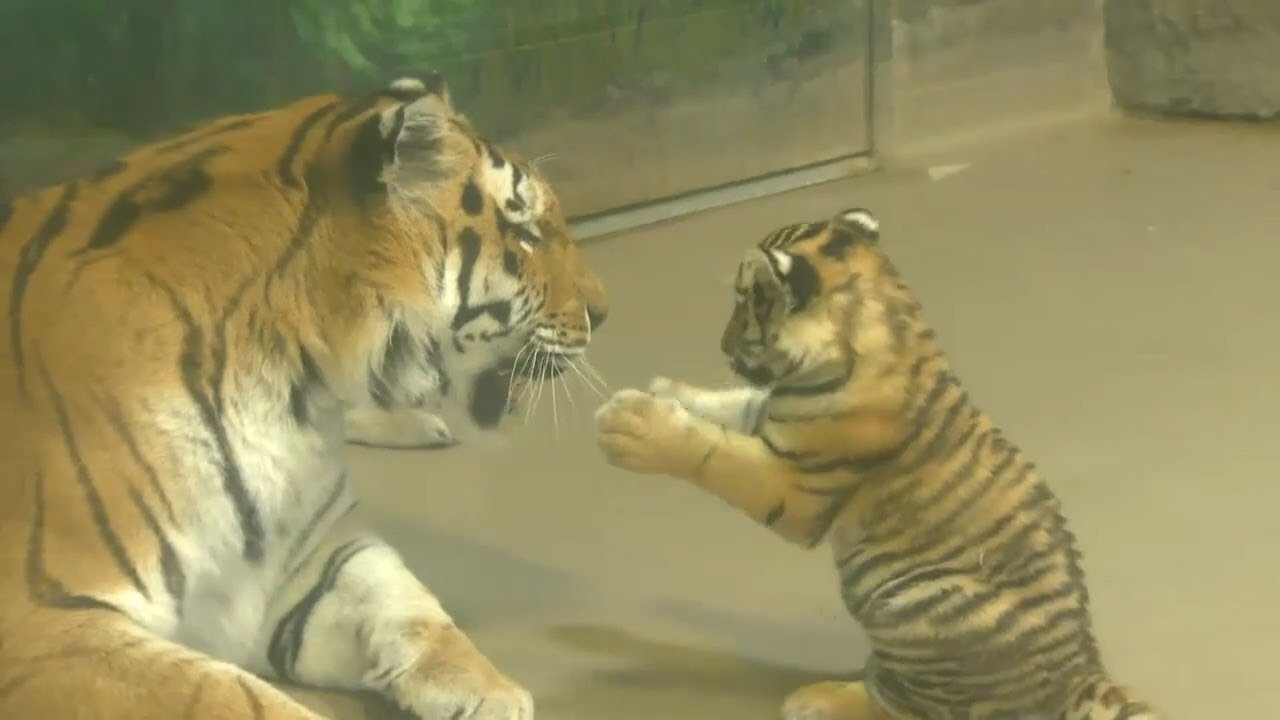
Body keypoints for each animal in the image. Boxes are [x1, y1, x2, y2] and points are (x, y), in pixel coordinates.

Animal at [0, 73, 606, 717]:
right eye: (526, 232)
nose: (603, 313)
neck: (301, 387)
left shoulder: (308, 558)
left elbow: (404, 598)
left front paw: (490, 691)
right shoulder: (44, 621)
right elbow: (232, 696)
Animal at [593, 207, 1157, 717]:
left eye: (743, 303)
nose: (722, 344)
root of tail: (1084, 675)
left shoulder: (797, 485)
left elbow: (714, 454)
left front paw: (630, 428)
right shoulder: (773, 413)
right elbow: (731, 404)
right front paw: (664, 392)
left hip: (912, 607)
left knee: (908, 707)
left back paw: (813, 701)